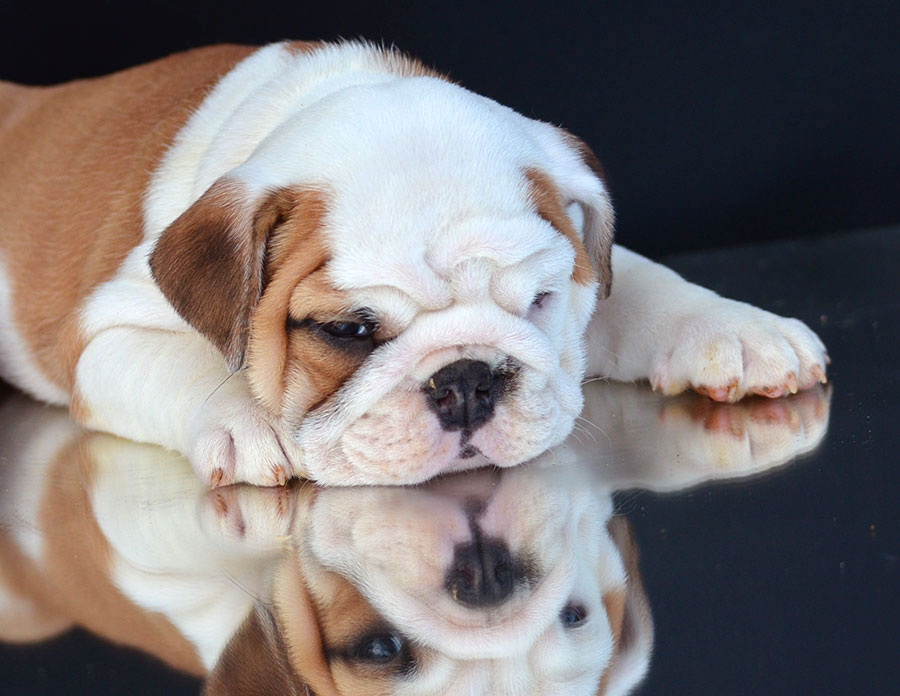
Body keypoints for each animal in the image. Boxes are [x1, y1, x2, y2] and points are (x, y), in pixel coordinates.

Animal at [0, 38, 828, 484]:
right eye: (346, 331)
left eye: (538, 301)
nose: (466, 379)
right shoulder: (104, 337)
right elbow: (188, 365)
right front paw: (246, 418)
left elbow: (631, 280)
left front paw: (732, 328)